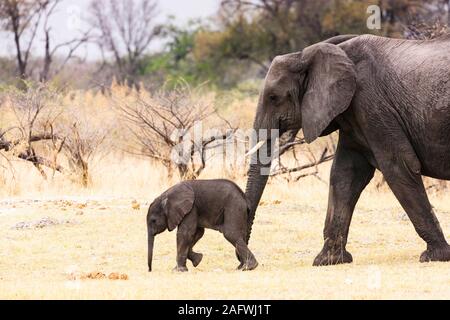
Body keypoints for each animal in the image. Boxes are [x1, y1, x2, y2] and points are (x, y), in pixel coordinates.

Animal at [244, 33, 450, 266]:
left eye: (273, 97)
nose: (248, 264)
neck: (306, 55)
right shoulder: (353, 114)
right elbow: (345, 174)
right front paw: (328, 260)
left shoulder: (372, 103)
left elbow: (399, 167)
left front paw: (436, 255)